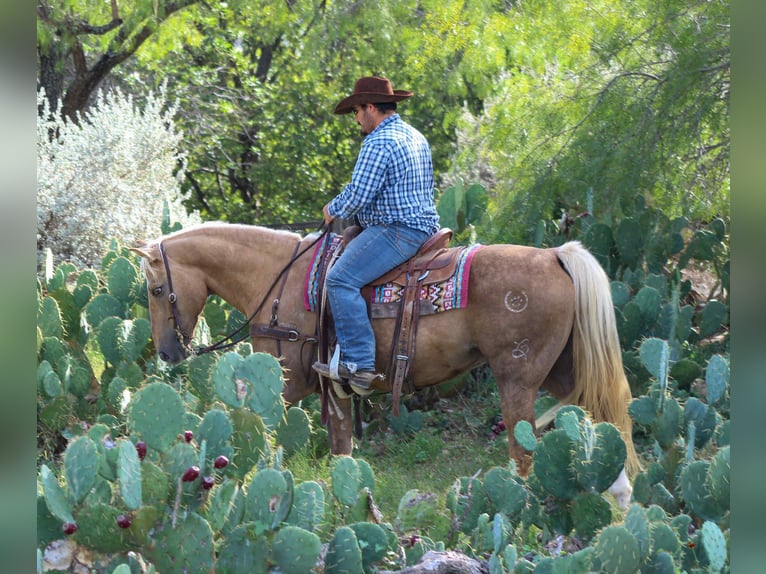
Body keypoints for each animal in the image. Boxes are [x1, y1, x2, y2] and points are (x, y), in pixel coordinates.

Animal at [131, 222, 638, 507]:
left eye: (156, 290)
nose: (168, 352)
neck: (279, 281)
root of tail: (556, 256)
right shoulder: (332, 391)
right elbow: (341, 456)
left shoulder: (281, 383)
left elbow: (245, 429)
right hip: (564, 371)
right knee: (605, 420)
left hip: (517, 379)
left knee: (525, 456)